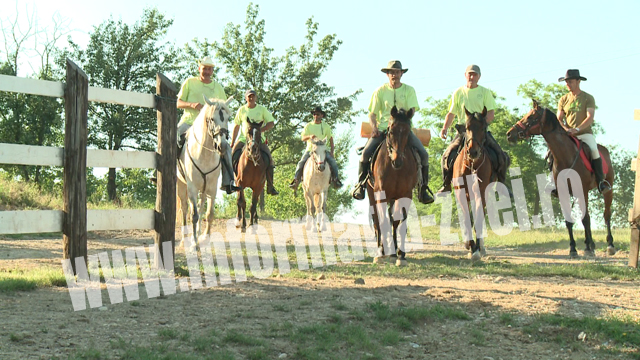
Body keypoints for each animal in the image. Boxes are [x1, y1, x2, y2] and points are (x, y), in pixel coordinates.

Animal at [178, 95, 232, 250]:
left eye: (228, 118)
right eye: (212, 119)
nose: (222, 146)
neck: (204, 154)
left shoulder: (212, 188)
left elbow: (209, 214)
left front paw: (205, 238)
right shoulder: (192, 188)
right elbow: (193, 215)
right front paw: (194, 243)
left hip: (203, 189)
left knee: (201, 208)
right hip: (181, 185)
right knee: (185, 209)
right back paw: (184, 240)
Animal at [364, 105, 420, 266]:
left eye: (407, 132)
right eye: (390, 131)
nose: (397, 161)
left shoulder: (405, 195)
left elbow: (399, 223)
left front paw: (400, 256)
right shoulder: (381, 194)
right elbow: (383, 222)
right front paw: (381, 254)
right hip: (372, 195)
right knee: (377, 222)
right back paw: (381, 250)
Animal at [450, 107, 496, 262]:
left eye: (483, 128)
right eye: (467, 128)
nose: (473, 152)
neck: (472, 166)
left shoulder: (480, 192)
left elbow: (478, 218)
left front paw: (476, 249)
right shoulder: (460, 192)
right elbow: (466, 219)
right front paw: (470, 245)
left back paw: (481, 247)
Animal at [508, 98, 616, 258]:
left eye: (530, 117)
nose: (509, 134)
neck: (566, 155)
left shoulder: (581, 190)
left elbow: (585, 219)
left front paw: (590, 248)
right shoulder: (564, 192)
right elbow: (569, 221)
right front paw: (573, 249)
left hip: (608, 190)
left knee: (606, 215)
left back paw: (609, 245)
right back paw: (588, 244)